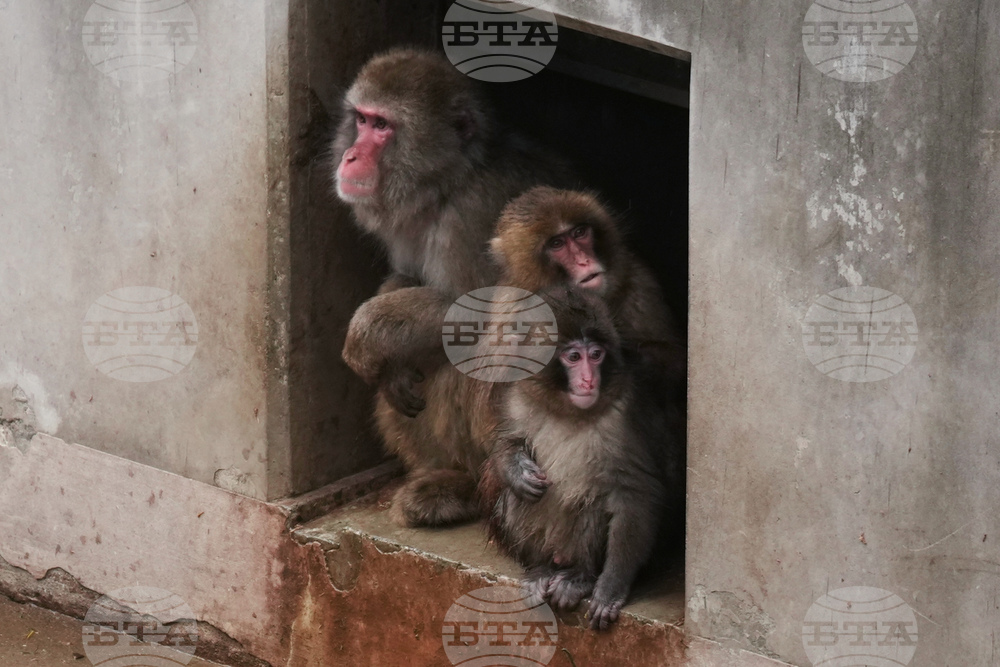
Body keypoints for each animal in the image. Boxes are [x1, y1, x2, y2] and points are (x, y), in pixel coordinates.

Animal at [332, 49, 573, 526]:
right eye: (362, 120)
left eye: (383, 126)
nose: (350, 155)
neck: (448, 183)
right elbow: (406, 279)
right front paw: (391, 364)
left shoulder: (475, 215)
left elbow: (481, 312)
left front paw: (365, 335)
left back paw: (467, 487)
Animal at [479, 288, 678, 631]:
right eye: (573, 357)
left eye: (596, 355)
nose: (588, 381)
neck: (567, 410)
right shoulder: (518, 396)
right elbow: (505, 442)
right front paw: (516, 470)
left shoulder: (625, 415)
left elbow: (636, 492)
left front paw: (611, 587)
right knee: (518, 498)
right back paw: (541, 569)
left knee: (593, 502)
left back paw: (579, 577)